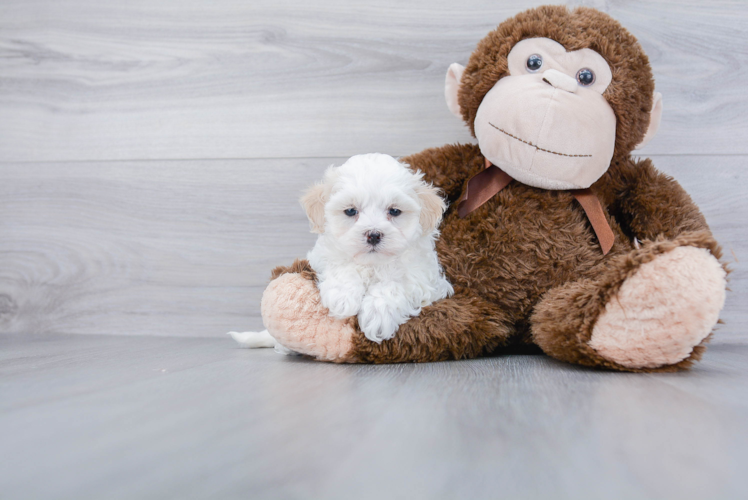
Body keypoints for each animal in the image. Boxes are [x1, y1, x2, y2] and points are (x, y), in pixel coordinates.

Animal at [228, 152, 450, 348]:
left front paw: (377, 316)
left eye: (395, 211)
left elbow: (396, 285)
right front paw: (343, 297)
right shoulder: (323, 258)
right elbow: (343, 267)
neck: (372, 265)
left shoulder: (426, 281)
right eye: (350, 211)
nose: (373, 234)